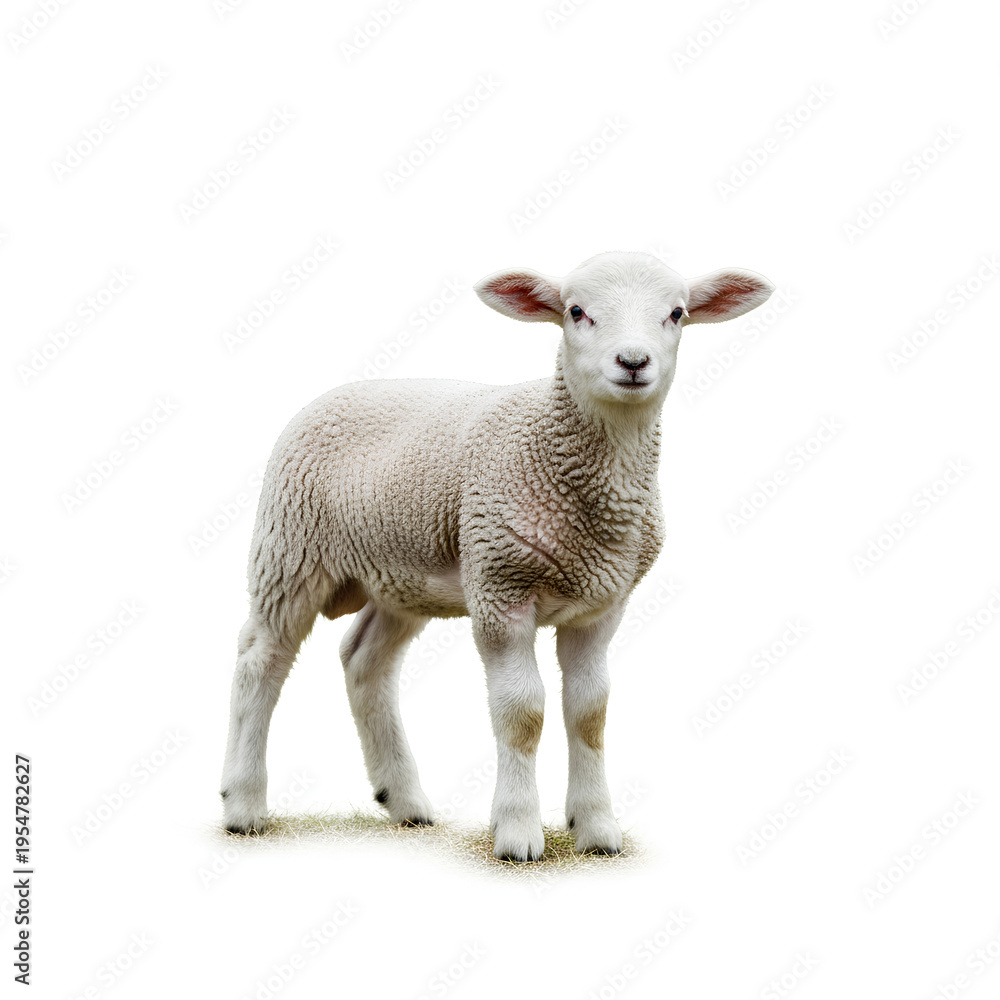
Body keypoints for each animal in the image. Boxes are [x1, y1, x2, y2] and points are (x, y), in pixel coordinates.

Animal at [221, 250, 774, 861]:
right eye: (576, 311)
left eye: (676, 313)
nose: (633, 362)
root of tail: (332, 395)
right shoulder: (500, 585)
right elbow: (522, 712)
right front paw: (517, 832)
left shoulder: (602, 605)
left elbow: (590, 712)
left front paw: (597, 829)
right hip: (290, 548)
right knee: (260, 660)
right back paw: (243, 804)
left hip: (401, 575)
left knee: (364, 661)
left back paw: (404, 800)